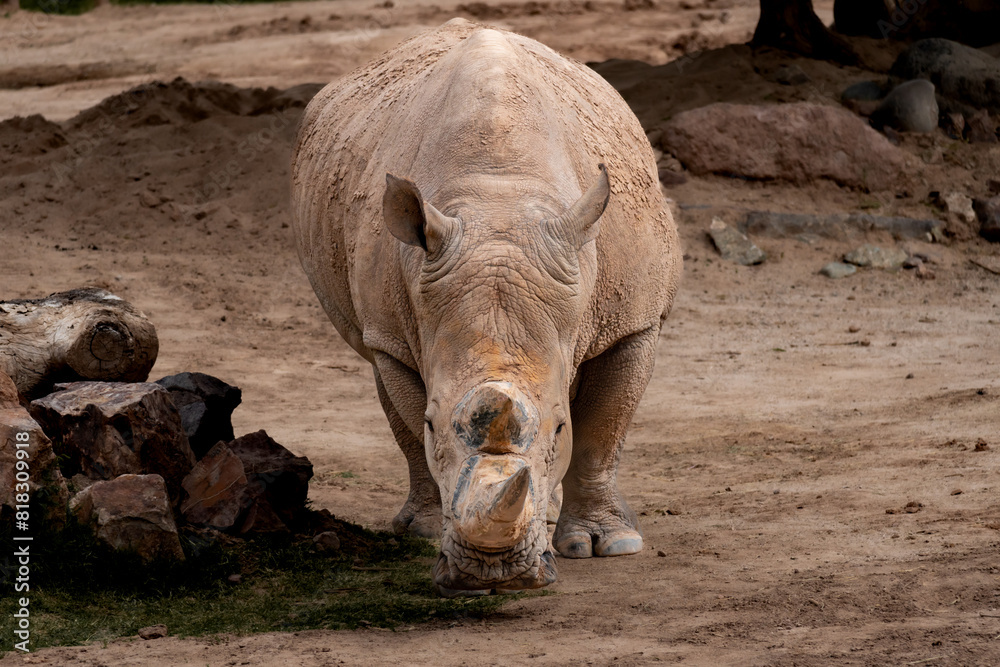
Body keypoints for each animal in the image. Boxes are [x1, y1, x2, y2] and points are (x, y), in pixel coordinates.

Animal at [291, 18, 682, 595]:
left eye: (559, 427)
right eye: (433, 424)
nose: (496, 574)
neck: (500, 195)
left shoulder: (632, 322)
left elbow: (601, 431)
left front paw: (607, 544)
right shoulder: (394, 331)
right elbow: (412, 423)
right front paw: (439, 535)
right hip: (377, 322)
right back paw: (424, 528)